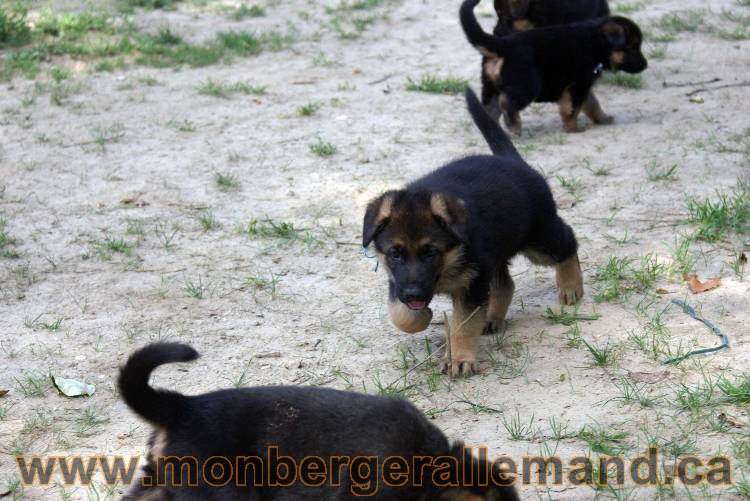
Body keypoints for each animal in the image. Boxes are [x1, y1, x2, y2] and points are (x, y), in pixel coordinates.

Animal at [364, 87, 588, 376]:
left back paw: (571, 286)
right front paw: (421, 317)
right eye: (395, 254)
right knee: (506, 283)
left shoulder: (472, 284)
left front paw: (459, 358)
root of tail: (512, 160)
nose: (414, 295)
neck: (449, 262)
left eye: (431, 253)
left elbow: (464, 324)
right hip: (497, 253)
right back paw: (491, 317)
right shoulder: (398, 280)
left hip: (538, 241)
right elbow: (399, 314)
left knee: (567, 242)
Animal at [462, 0, 648, 135]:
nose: (645, 65)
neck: (595, 42)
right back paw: (514, 126)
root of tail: (503, 45)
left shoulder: (583, 87)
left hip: (489, 86)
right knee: (507, 103)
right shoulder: (577, 86)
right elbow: (571, 110)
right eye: (633, 47)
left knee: (489, 108)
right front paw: (572, 128)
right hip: (527, 86)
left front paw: (603, 119)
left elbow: (593, 104)